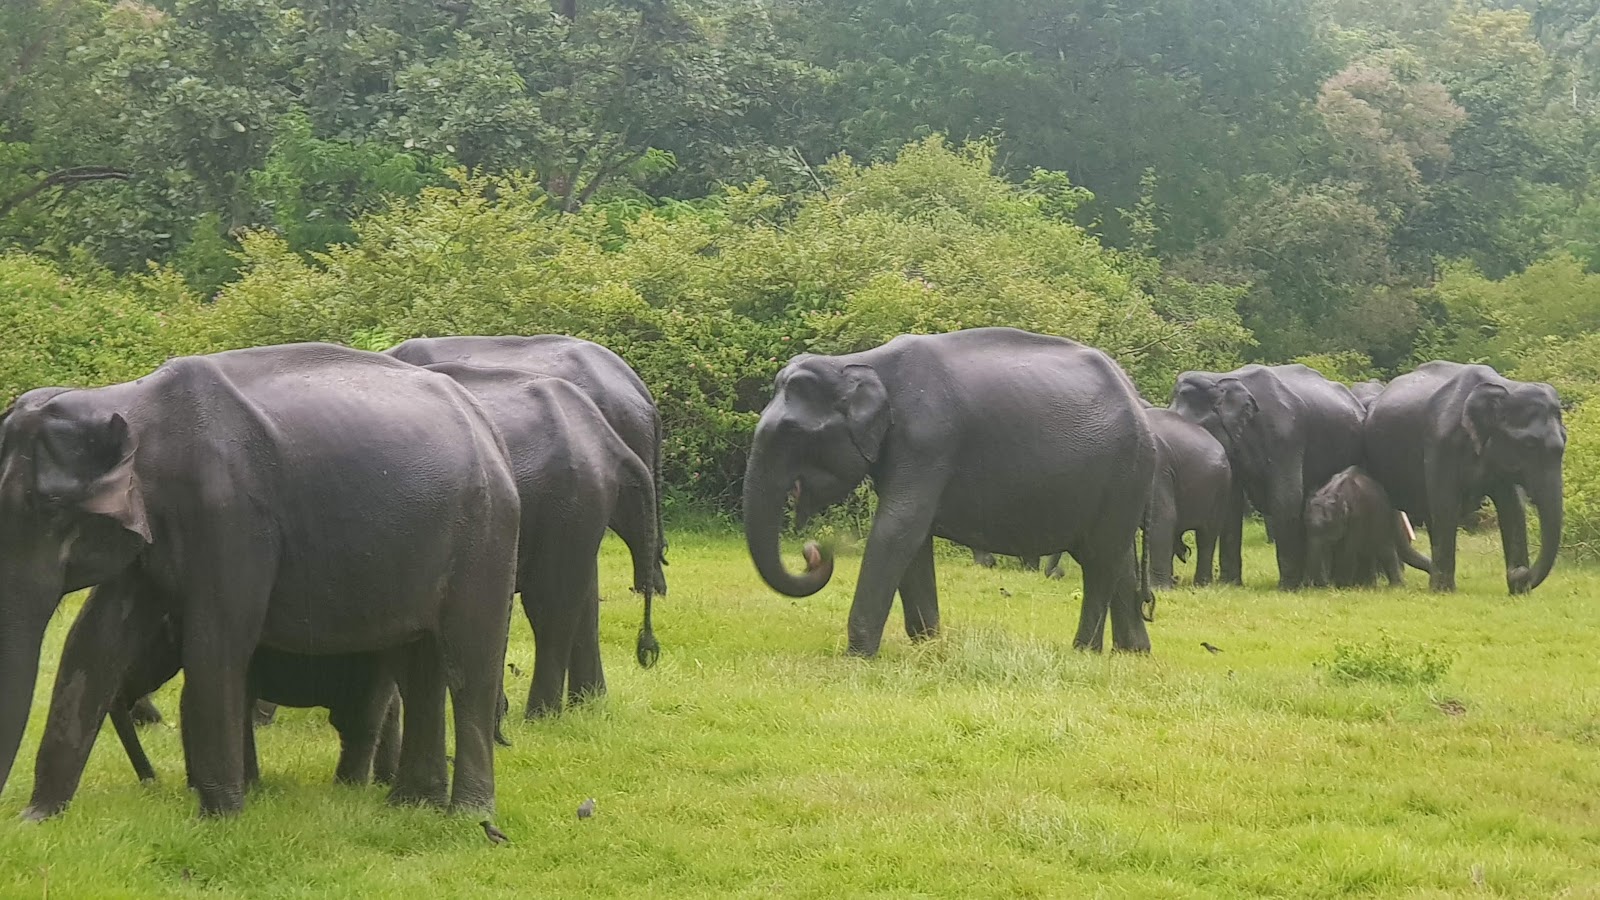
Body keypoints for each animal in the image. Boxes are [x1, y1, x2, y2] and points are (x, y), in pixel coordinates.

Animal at [0, 343, 520, 819]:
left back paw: (469, 817)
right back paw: (411, 807)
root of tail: (488, 428)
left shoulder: (231, 515)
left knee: (468, 661)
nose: (150, 781)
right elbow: (93, 640)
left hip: (486, 531)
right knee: (419, 666)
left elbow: (216, 643)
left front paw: (221, 819)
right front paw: (39, 820)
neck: (131, 400)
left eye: (49, 507)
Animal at [417, 363, 662, 720]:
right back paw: (587, 703)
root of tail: (609, 441)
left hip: (568, 501)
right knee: (583, 598)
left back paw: (540, 715)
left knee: (550, 606)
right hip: (579, 507)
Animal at [744, 327, 1156, 657]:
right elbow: (913, 540)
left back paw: (1084, 651)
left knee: (1101, 560)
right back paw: (1131, 652)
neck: (861, 363)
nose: (815, 552)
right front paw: (929, 644)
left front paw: (857, 657)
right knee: (1116, 558)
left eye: (792, 433)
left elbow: (898, 528)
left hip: (1125, 471)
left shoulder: (927, 441)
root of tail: (1138, 400)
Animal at [1170, 364, 1366, 590]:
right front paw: (1230, 585)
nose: (1184, 552)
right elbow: (1232, 503)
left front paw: (1287, 588)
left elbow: (1286, 499)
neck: (1221, 379)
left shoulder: (1286, 435)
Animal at [1362, 361, 1564, 594]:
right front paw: (1443, 592)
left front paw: (1518, 592)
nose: (1520, 574)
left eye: (1564, 442)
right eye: (1529, 445)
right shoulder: (1440, 443)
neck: (1505, 387)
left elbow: (1512, 507)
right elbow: (1446, 504)